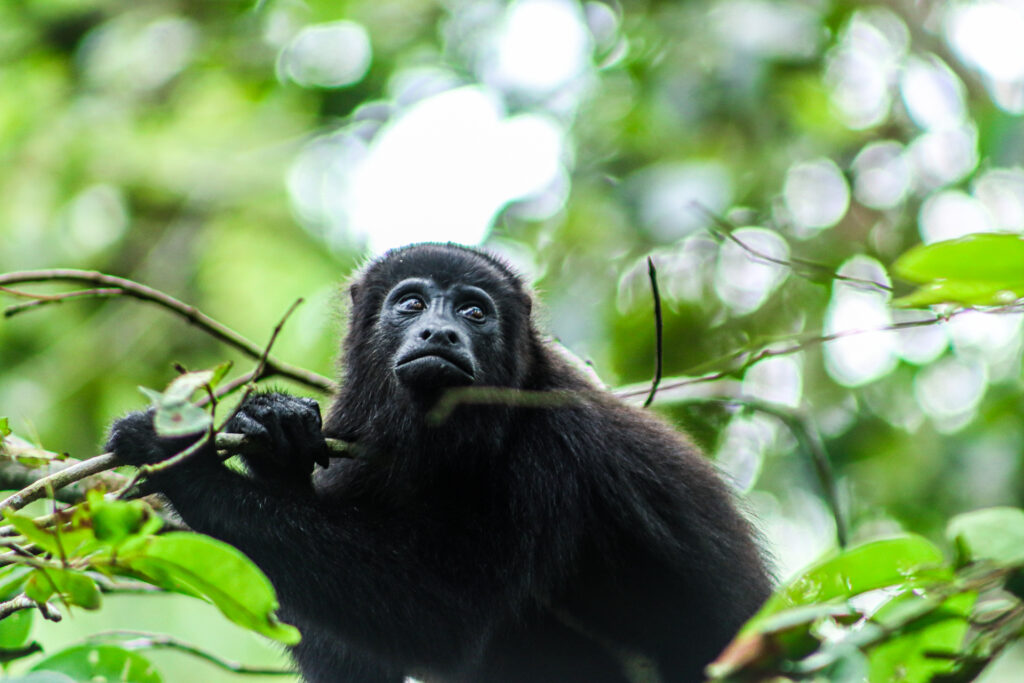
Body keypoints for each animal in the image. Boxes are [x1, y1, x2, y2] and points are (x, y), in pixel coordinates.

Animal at [107, 242, 771, 683]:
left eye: (474, 312)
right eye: (411, 302)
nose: (440, 332)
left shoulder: (554, 444)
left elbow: (447, 619)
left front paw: (183, 463)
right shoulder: (355, 439)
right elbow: (347, 657)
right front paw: (277, 432)